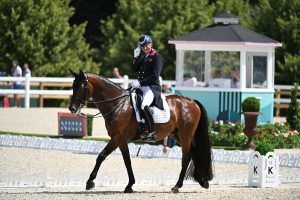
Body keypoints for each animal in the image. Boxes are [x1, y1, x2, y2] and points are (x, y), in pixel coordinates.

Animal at [69, 69, 212, 193]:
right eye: (73, 86)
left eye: (82, 86)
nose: (72, 109)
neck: (118, 105)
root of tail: (192, 101)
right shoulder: (121, 140)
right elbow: (127, 161)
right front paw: (129, 185)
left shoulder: (116, 138)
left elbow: (101, 156)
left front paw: (90, 182)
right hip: (177, 134)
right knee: (193, 154)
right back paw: (202, 181)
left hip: (185, 134)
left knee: (186, 157)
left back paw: (177, 185)